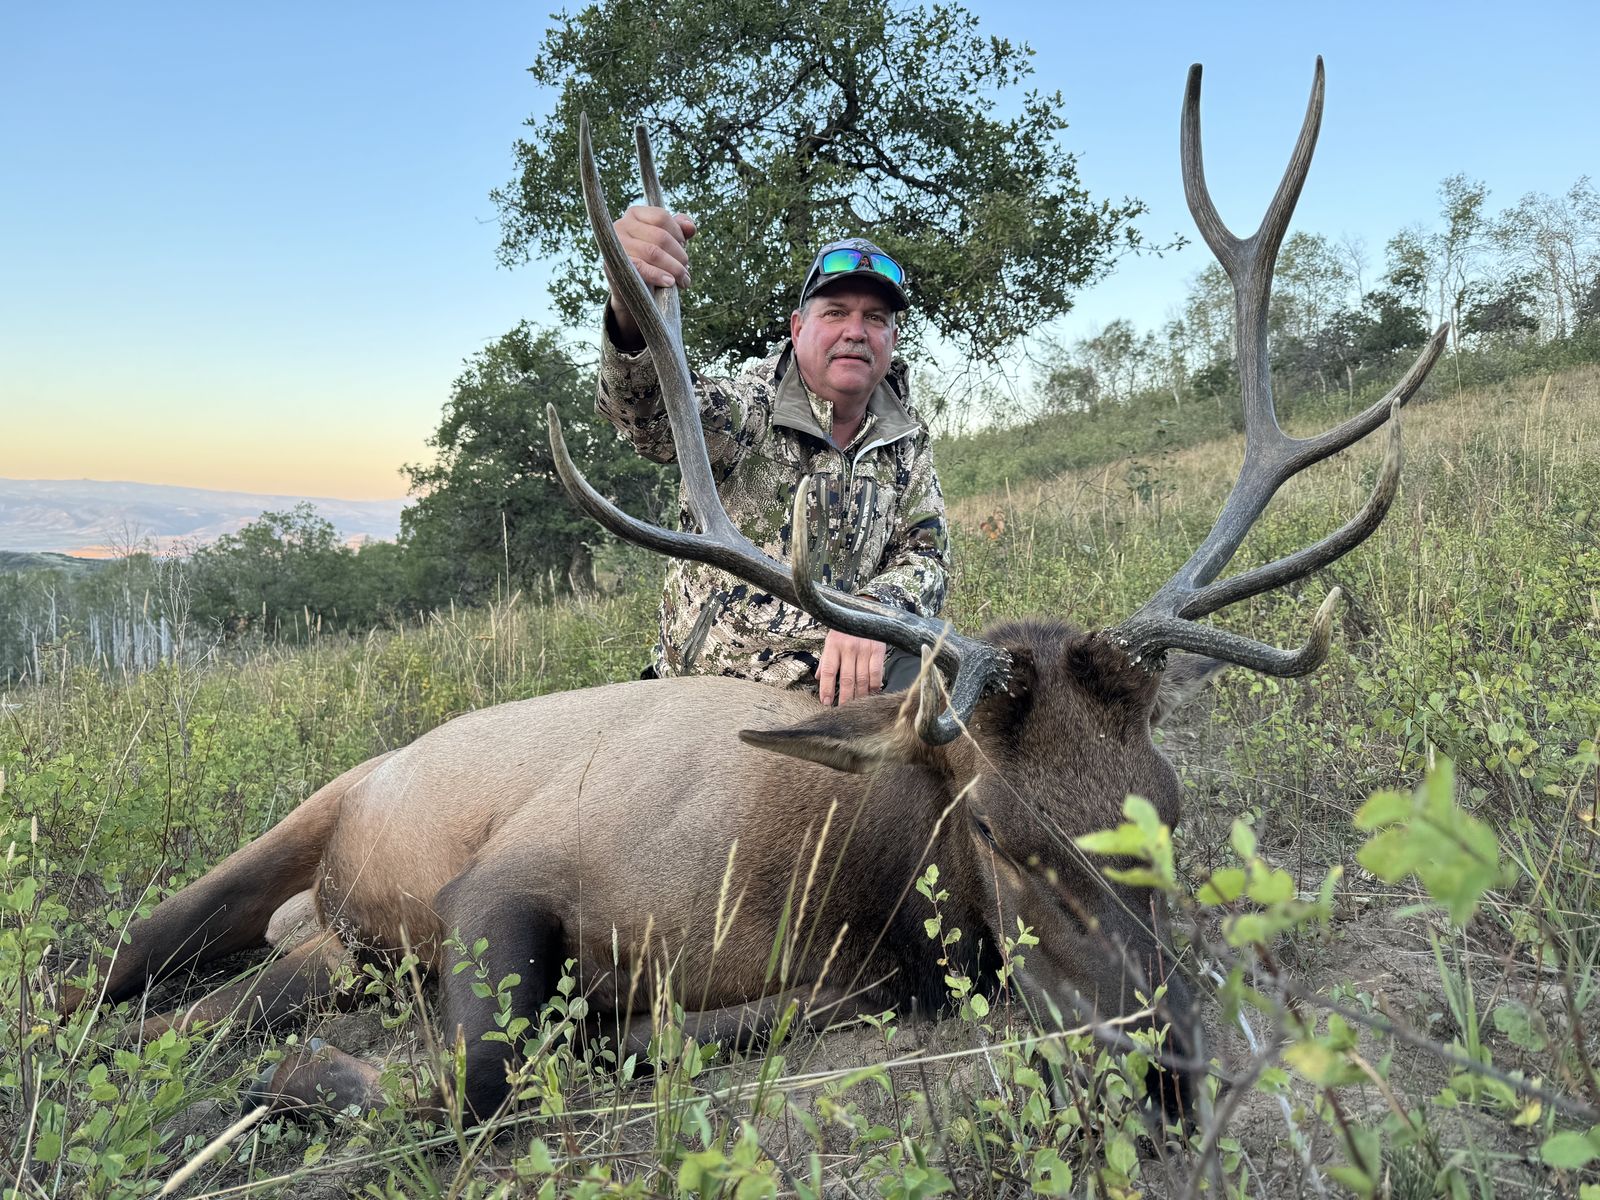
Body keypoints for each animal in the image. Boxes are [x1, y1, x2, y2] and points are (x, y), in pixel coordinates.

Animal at [59, 59, 1445, 1125]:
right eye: (1001, 830)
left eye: (1170, 806)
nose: (1162, 1063)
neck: (832, 879)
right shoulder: (502, 878)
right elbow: (478, 1076)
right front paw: (305, 1083)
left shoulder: (850, 982)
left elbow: (656, 1036)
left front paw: (608, 1033)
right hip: (311, 820)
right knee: (104, 971)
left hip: (325, 943)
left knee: (206, 1006)